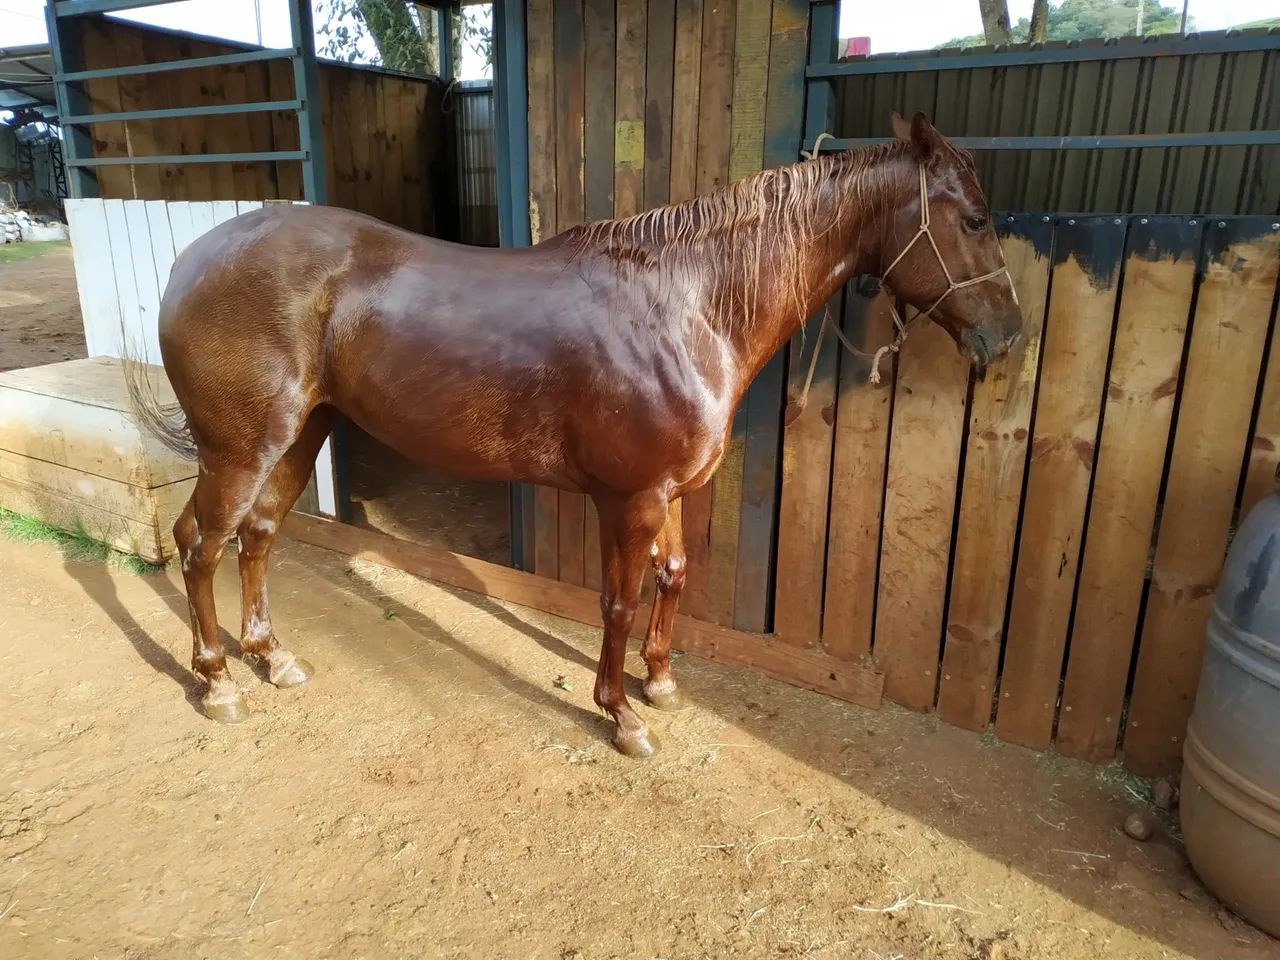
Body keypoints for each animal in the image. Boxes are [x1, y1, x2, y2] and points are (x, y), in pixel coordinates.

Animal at [128, 111, 1022, 758]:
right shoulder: (629, 500)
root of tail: (190, 260)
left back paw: (272, 657)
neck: (688, 306)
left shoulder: (669, 493)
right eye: (975, 218)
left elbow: (675, 577)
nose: (1009, 337)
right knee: (201, 544)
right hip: (241, 449)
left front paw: (662, 684)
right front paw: (622, 715)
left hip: (300, 437)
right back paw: (218, 682)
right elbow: (619, 604)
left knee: (258, 537)